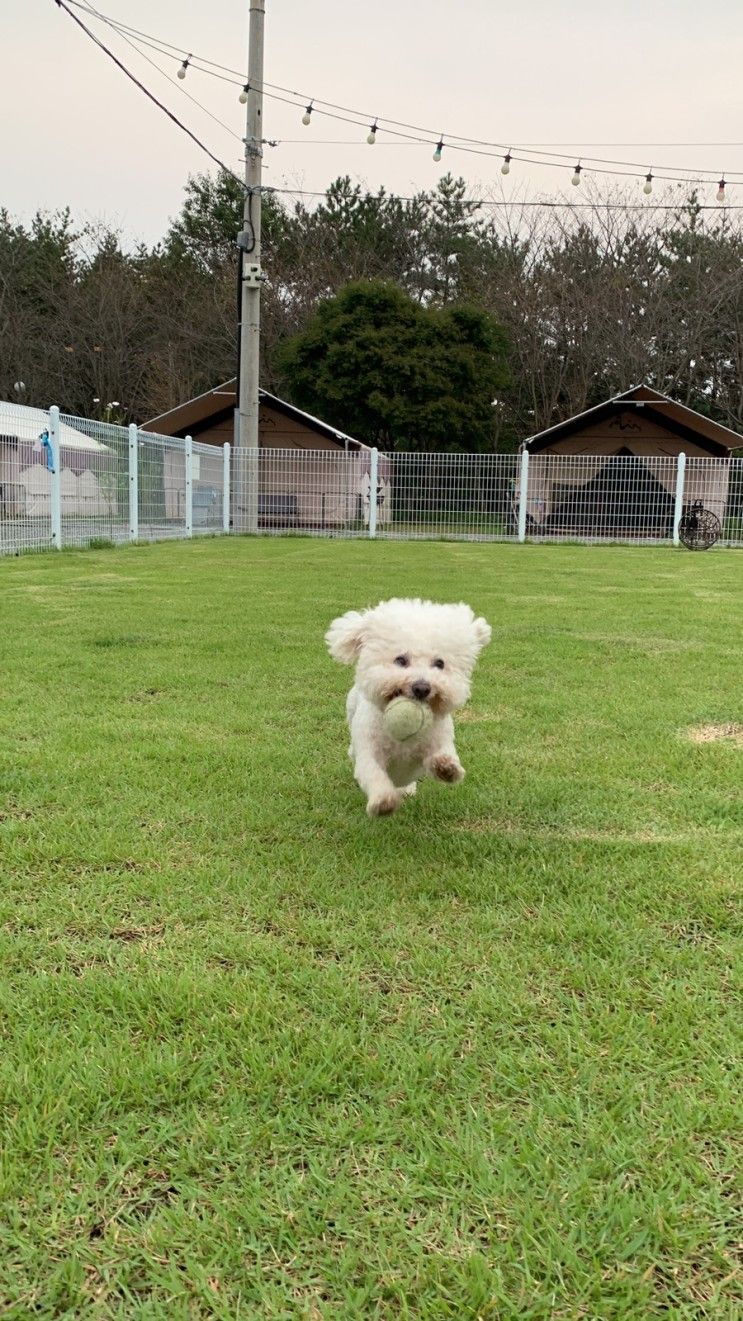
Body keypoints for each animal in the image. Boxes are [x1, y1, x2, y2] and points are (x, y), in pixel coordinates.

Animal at [325, 599, 489, 813]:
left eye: (440, 663)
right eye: (400, 660)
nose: (422, 688)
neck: (403, 740)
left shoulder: (438, 741)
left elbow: (442, 753)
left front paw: (446, 767)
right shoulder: (369, 750)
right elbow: (372, 772)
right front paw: (382, 800)